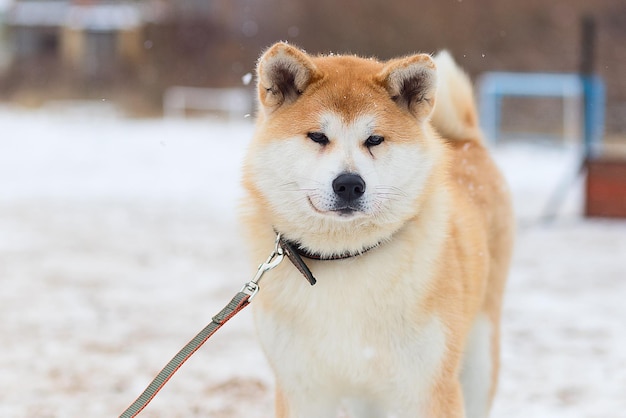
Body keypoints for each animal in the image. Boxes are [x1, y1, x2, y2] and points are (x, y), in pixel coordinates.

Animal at [239, 43, 512, 418]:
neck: (346, 257)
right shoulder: (303, 389)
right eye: (318, 136)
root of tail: (464, 142)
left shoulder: (426, 388)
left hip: (478, 360)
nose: (349, 184)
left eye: (375, 139)